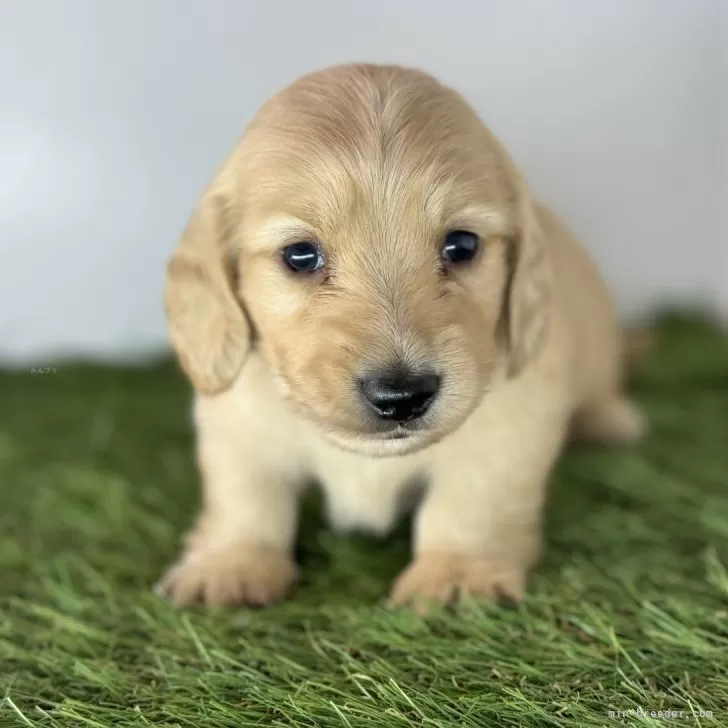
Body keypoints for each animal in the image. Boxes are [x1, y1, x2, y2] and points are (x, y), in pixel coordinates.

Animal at [156, 62, 644, 608]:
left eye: (462, 245)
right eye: (300, 255)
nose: (402, 396)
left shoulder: (514, 419)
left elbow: (473, 498)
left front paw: (456, 572)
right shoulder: (236, 420)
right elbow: (246, 495)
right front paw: (229, 564)